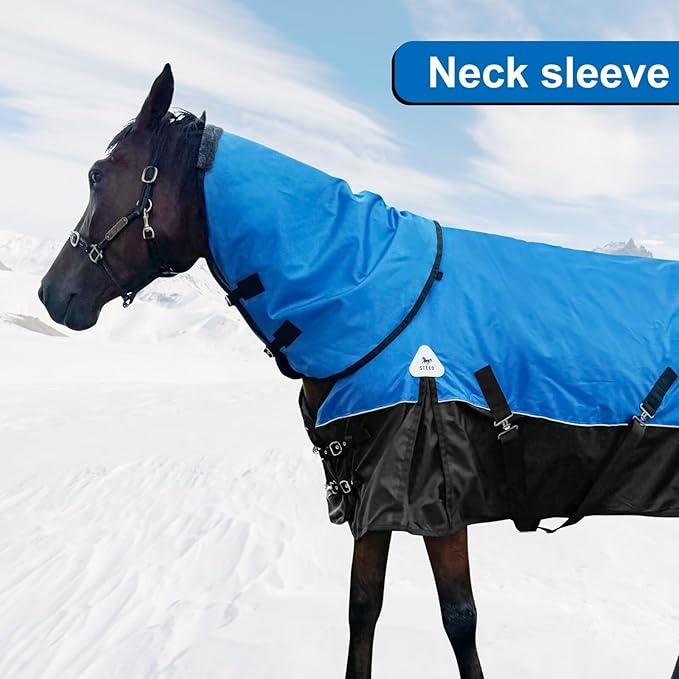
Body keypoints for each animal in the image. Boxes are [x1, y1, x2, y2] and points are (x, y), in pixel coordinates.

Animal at [39, 65, 679, 679]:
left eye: (97, 175)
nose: (51, 293)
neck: (368, 289)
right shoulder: (372, 488)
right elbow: (363, 607)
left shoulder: (436, 498)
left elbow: (459, 620)